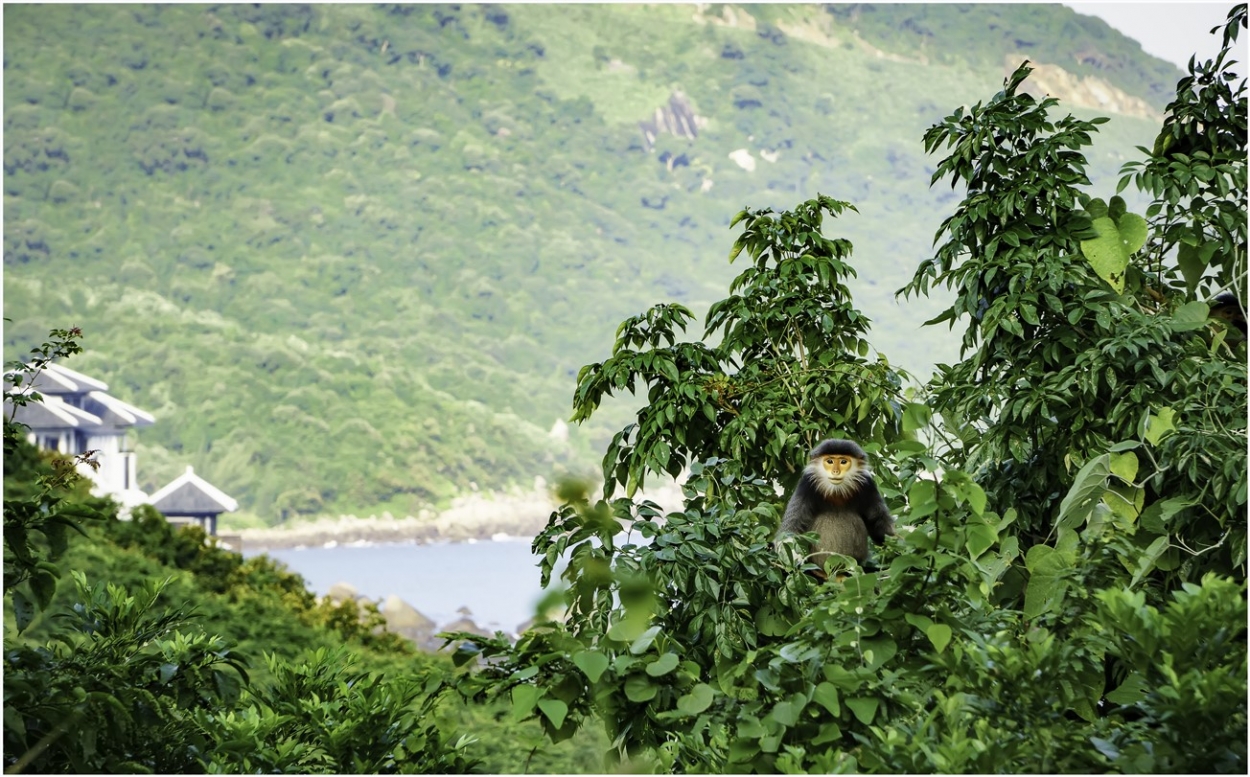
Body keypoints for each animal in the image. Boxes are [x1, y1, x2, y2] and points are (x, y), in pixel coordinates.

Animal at [775, 439, 895, 579]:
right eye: (830, 461)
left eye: (843, 462)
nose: (835, 472)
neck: (836, 491)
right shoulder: (806, 485)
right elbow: (791, 527)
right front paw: (793, 561)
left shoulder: (867, 485)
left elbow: (879, 524)